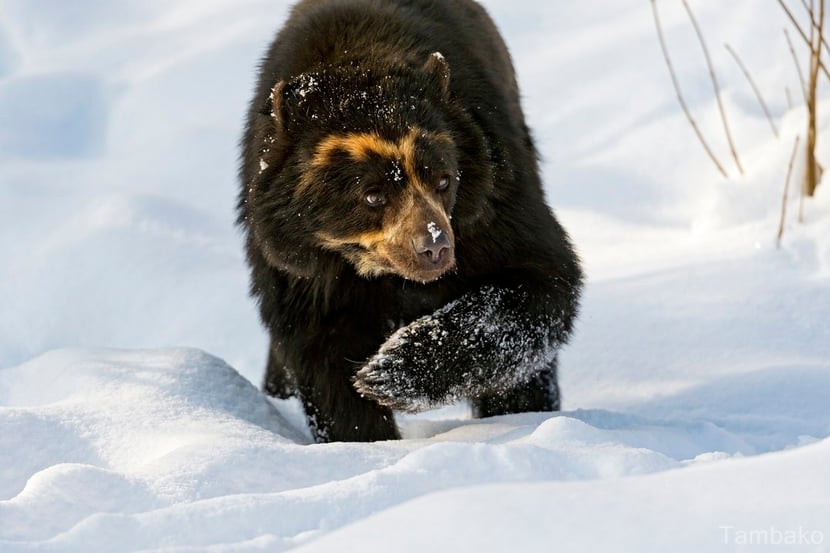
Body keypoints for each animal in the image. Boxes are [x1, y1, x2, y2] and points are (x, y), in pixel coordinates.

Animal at [238, 0, 583, 442]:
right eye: (371, 195)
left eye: (444, 180)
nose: (434, 247)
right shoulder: (304, 269)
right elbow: (321, 349)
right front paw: (365, 438)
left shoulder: (491, 202)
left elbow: (538, 280)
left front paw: (388, 372)